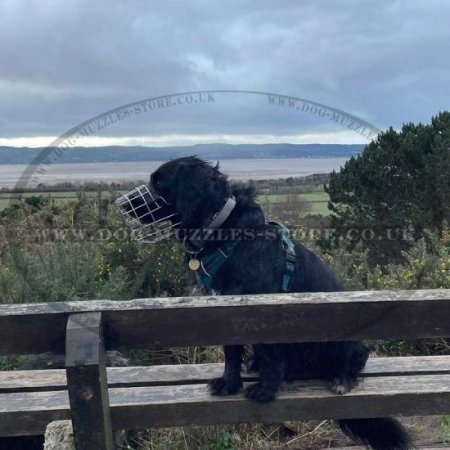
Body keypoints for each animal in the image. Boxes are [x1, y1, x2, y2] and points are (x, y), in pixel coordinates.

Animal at [119, 156, 412, 450]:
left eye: (159, 183)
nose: (122, 205)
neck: (225, 230)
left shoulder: (266, 309)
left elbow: (270, 354)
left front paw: (266, 390)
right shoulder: (226, 308)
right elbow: (232, 353)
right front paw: (229, 384)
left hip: (345, 340)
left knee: (355, 358)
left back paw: (342, 379)